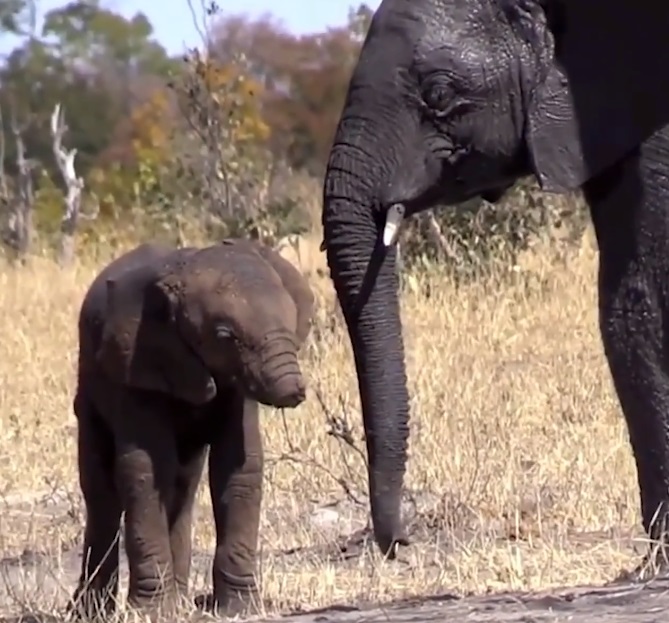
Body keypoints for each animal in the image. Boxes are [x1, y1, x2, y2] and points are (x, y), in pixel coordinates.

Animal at [69, 238, 314, 620]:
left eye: (292, 320)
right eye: (225, 336)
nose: (295, 392)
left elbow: (239, 467)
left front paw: (240, 608)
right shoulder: (136, 363)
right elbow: (145, 469)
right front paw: (152, 613)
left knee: (182, 487)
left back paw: (181, 602)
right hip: (90, 390)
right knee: (101, 493)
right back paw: (92, 612)